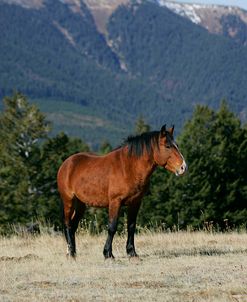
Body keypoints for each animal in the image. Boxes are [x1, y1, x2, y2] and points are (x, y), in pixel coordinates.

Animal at [57, 125, 186, 260]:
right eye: (167, 146)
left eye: (176, 145)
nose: (183, 167)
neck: (129, 167)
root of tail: (66, 163)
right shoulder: (115, 202)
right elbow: (112, 227)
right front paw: (108, 254)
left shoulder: (135, 202)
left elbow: (131, 226)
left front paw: (132, 252)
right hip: (69, 201)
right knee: (67, 224)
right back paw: (71, 253)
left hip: (80, 204)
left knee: (73, 225)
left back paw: (73, 252)